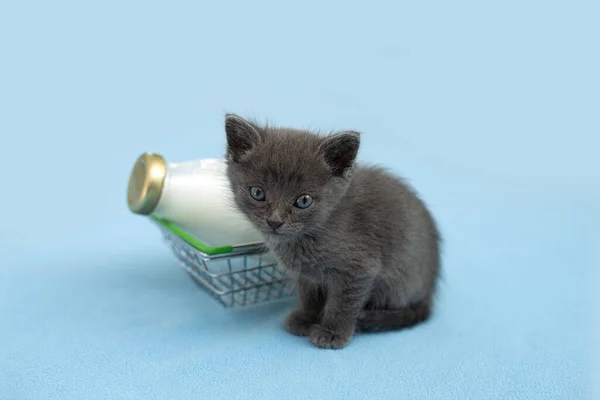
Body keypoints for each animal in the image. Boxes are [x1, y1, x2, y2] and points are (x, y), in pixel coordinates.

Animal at [224, 114, 440, 348]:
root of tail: (430, 290)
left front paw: (332, 332)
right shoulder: (307, 275)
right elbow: (309, 296)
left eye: (303, 201)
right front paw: (307, 318)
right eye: (257, 193)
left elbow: (343, 304)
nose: (274, 221)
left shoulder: (359, 269)